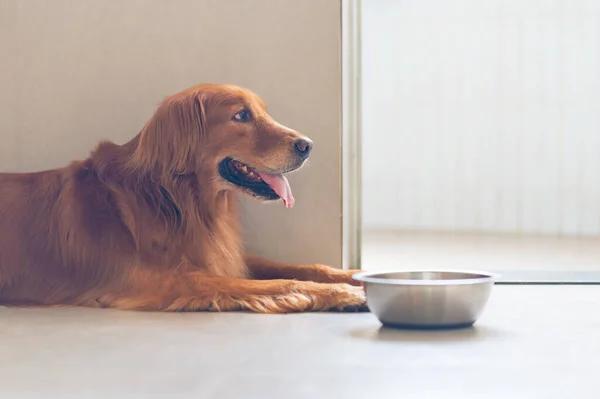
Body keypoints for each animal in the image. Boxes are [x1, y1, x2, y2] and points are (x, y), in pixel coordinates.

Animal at [0, 84, 366, 314]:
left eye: (262, 111)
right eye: (241, 115)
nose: (307, 145)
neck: (177, 202)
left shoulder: (225, 257)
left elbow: (302, 267)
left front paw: (354, 276)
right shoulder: (174, 280)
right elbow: (279, 282)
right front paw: (345, 293)